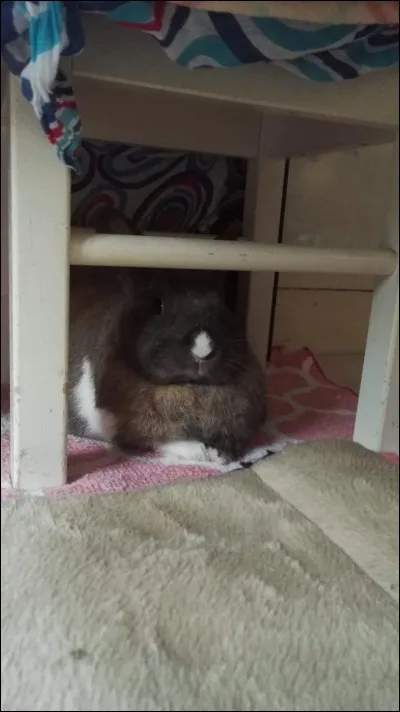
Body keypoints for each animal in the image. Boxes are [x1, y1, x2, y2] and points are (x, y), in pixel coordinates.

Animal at [68, 265, 267, 464]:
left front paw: (222, 453)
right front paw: (204, 452)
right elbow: (165, 440)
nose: (202, 348)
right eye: (158, 305)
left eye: (225, 304)